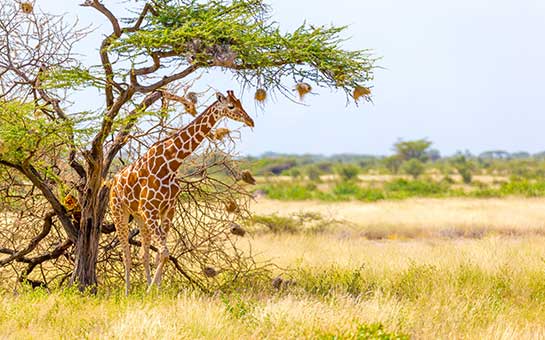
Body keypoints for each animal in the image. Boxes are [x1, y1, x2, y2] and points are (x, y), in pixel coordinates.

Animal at [110, 90, 255, 294]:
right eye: (231, 106)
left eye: (240, 103)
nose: (250, 121)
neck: (171, 163)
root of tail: (113, 182)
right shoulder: (150, 209)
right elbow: (164, 252)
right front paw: (150, 292)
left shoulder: (168, 209)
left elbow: (160, 254)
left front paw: (156, 292)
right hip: (119, 212)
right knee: (126, 253)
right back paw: (127, 292)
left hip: (139, 217)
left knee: (143, 254)